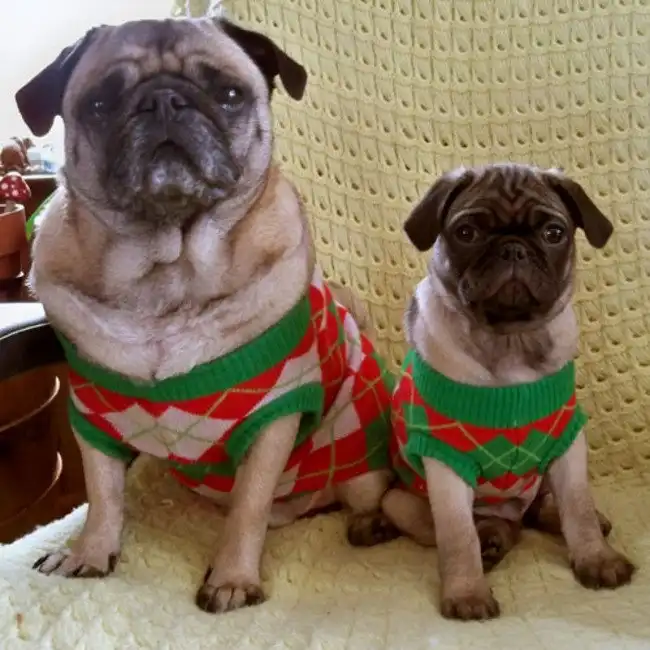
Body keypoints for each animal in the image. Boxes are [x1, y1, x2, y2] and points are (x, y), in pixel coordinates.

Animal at [15, 17, 396, 614]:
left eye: (230, 94)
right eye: (99, 103)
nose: (164, 100)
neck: (167, 274)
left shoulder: (273, 420)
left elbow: (248, 509)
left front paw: (233, 577)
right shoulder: (93, 417)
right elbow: (103, 495)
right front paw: (89, 553)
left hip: (359, 466)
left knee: (354, 498)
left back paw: (369, 525)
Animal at [380, 164, 635, 620]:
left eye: (554, 233)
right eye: (466, 233)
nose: (513, 249)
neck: (510, 340)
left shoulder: (567, 443)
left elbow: (578, 508)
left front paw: (596, 557)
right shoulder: (446, 462)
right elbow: (456, 535)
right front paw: (467, 592)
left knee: (541, 510)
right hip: (398, 501)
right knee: (489, 527)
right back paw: (492, 538)